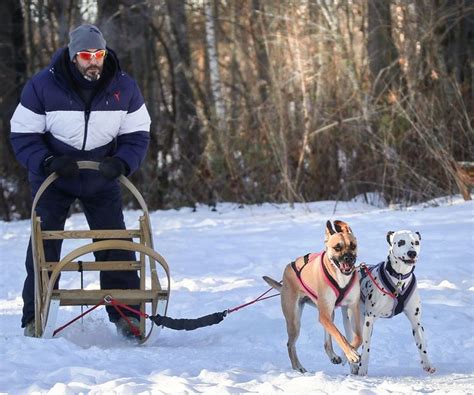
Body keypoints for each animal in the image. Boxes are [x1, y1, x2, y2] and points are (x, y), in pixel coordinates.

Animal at [264, 221, 362, 372]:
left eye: (352, 245)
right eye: (337, 247)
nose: (349, 258)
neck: (340, 277)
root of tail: (287, 271)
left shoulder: (353, 308)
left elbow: (358, 338)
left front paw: (348, 353)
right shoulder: (324, 315)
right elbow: (340, 335)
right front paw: (350, 353)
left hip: (330, 313)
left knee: (327, 341)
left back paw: (333, 356)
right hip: (295, 321)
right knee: (290, 345)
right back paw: (298, 368)